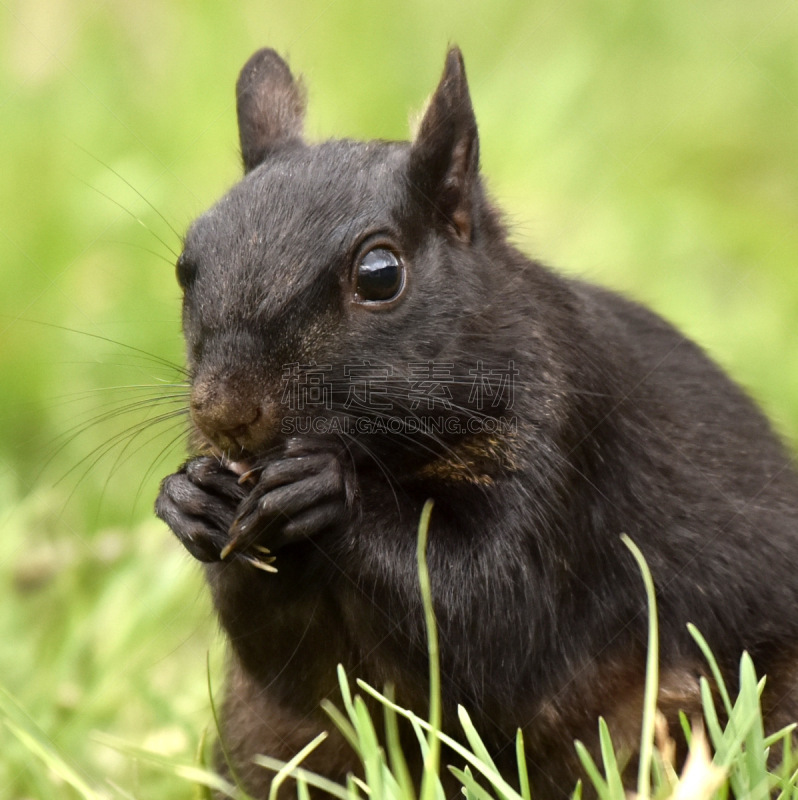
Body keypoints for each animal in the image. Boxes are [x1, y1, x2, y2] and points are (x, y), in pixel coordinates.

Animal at [155, 47, 798, 796]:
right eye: (185, 267)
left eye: (380, 274)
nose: (222, 413)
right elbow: (290, 665)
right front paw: (189, 498)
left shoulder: (564, 440)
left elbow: (488, 613)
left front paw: (330, 491)